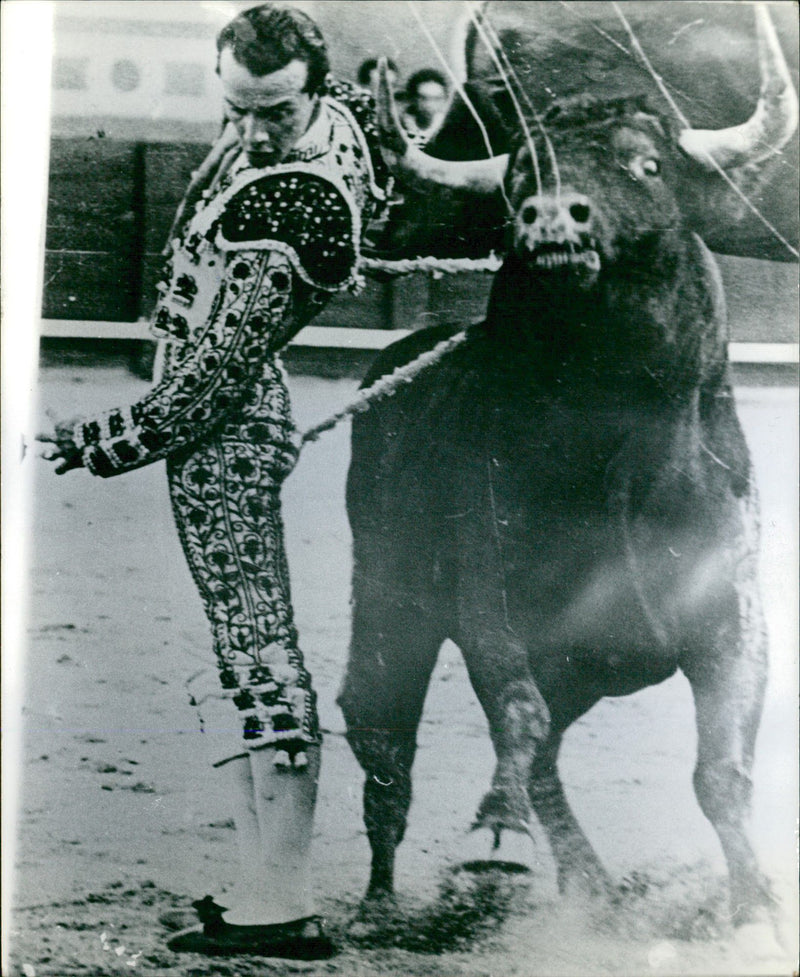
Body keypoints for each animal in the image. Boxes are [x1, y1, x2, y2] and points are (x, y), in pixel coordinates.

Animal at [336, 1, 792, 936]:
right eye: (517, 176)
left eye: (647, 165)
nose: (551, 220)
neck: (611, 448)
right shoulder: (492, 599)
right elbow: (516, 710)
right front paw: (493, 836)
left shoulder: (732, 613)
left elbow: (721, 768)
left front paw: (754, 905)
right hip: (392, 599)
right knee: (386, 734)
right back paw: (380, 904)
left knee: (542, 751)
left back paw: (593, 888)